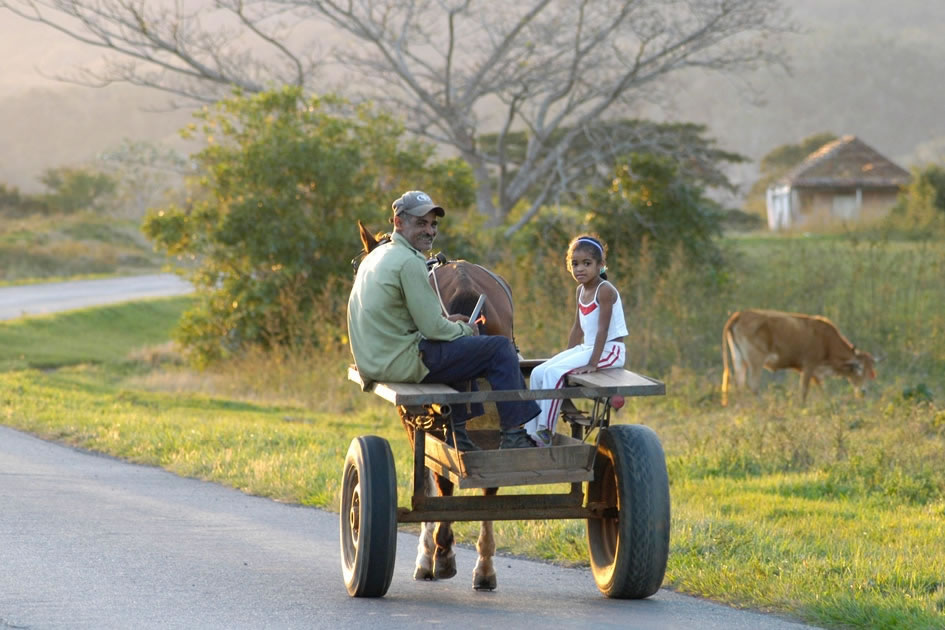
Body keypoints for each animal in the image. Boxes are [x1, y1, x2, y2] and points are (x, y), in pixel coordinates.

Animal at [724, 310, 876, 408]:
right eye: (860, 368)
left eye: (870, 370)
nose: (864, 391)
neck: (826, 341)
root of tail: (741, 314)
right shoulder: (808, 366)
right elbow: (804, 389)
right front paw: (802, 406)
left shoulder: (815, 372)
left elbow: (822, 388)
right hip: (755, 361)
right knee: (753, 384)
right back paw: (762, 406)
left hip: (739, 360)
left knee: (739, 384)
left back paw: (741, 406)